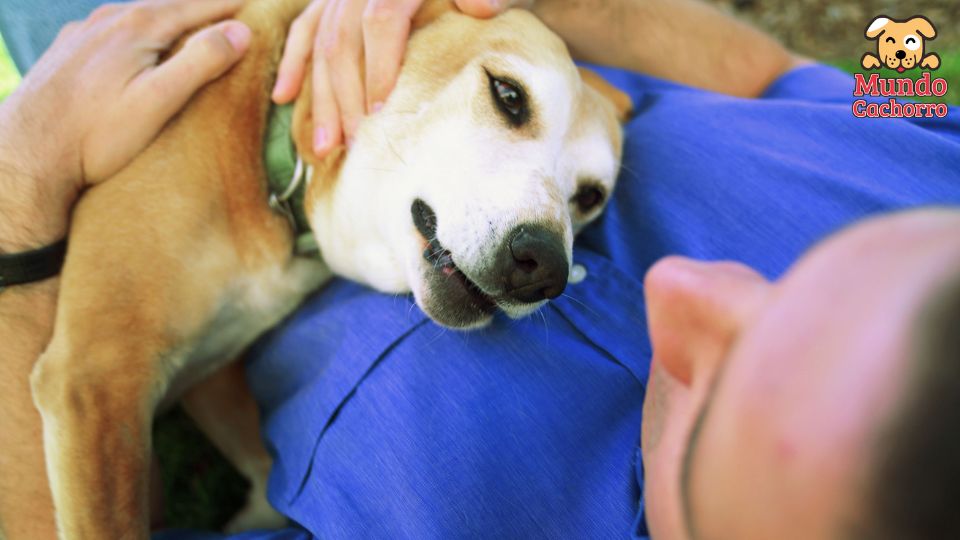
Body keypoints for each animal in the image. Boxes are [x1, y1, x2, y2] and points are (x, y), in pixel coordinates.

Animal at [28, 0, 632, 532]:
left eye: (590, 197)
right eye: (508, 95)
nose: (545, 268)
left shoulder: (207, 375)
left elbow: (265, 484)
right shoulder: (96, 375)